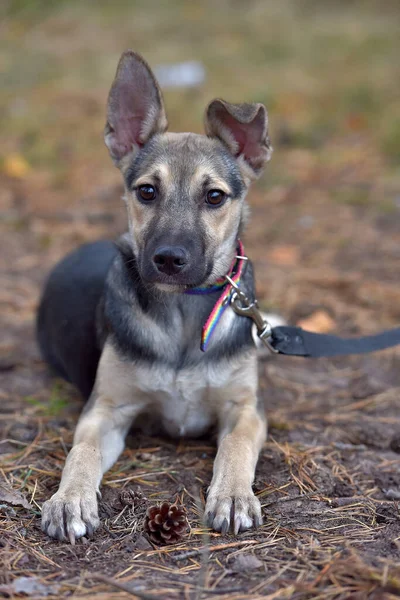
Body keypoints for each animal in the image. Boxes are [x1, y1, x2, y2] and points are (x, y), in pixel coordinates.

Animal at [38, 51, 272, 544]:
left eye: (214, 196)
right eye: (147, 190)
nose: (168, 259)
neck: (181, 311)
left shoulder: (246, 408)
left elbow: (237, 444)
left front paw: (233, 495)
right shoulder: (105, 409)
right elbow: (81, 452)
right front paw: (69, 500)